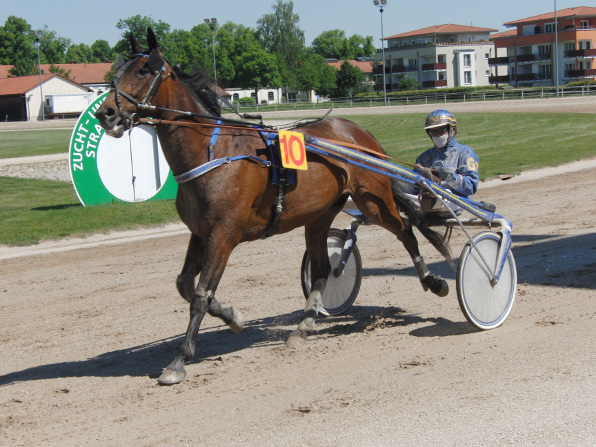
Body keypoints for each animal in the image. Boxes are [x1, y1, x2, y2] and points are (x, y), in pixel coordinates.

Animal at [95, 28, 450, 384]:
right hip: (320, 215)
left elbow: (200, 295)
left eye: (143, 71)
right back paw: (304, 326)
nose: (105, 113)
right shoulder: (200, 232)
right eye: (117, 71)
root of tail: (359, 132)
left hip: (372, 200)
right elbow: (185, 285)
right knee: (323, 269)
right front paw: (233, 316)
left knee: (405, 230)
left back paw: (434, 282)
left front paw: (179, 360)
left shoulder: (223, 235)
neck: (212, 152)